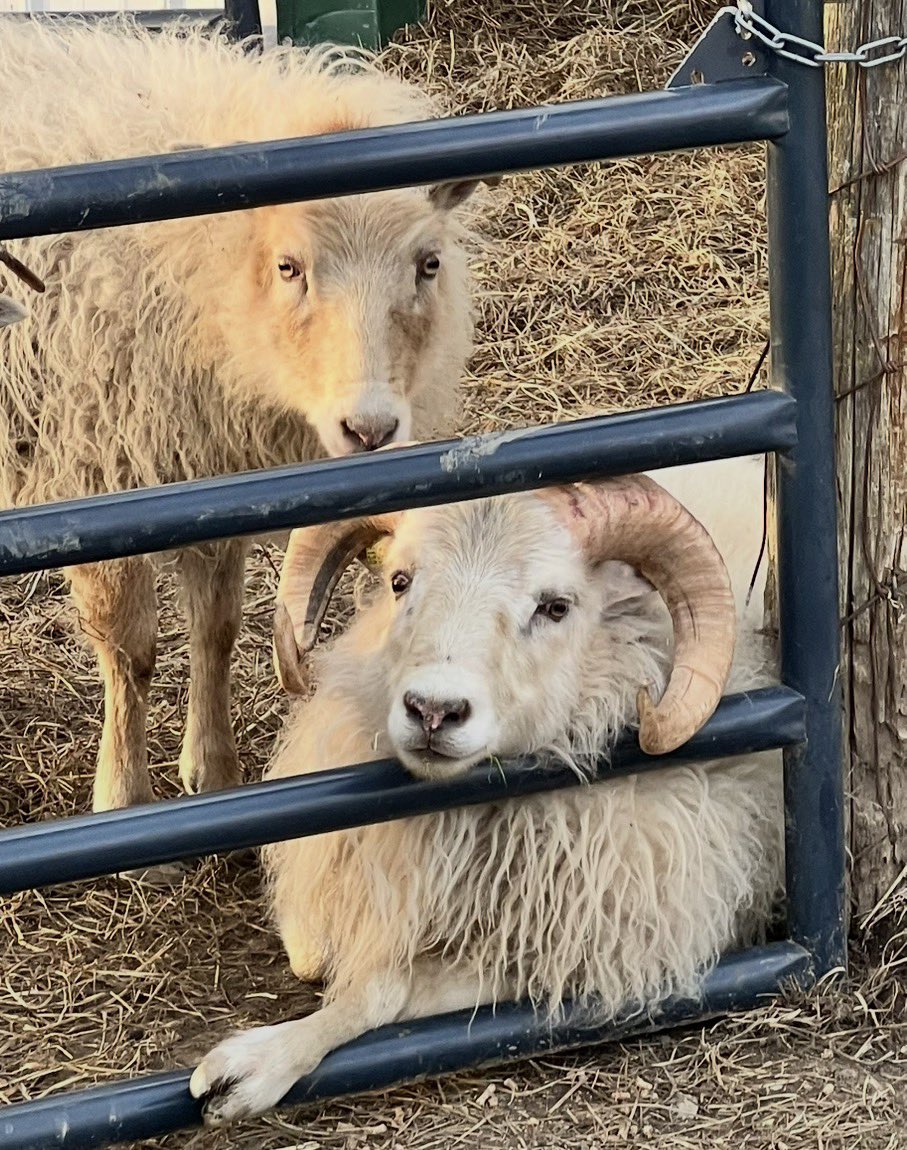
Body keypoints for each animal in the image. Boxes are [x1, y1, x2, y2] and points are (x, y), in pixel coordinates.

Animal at [0, 18, 490, 827]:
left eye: (428, 264)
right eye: (289, 266)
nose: (369, 430)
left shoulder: (213, 471)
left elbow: (217, 628)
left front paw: (215, 772)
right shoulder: (91, 479)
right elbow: (130, 650)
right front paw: (123, 796)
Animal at [189, 452, 784, 1126]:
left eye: (556, 607)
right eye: (400, 582)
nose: (433, 710)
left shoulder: (587, 949)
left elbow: (384, 988)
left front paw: (256, 1064)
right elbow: (314, 952)